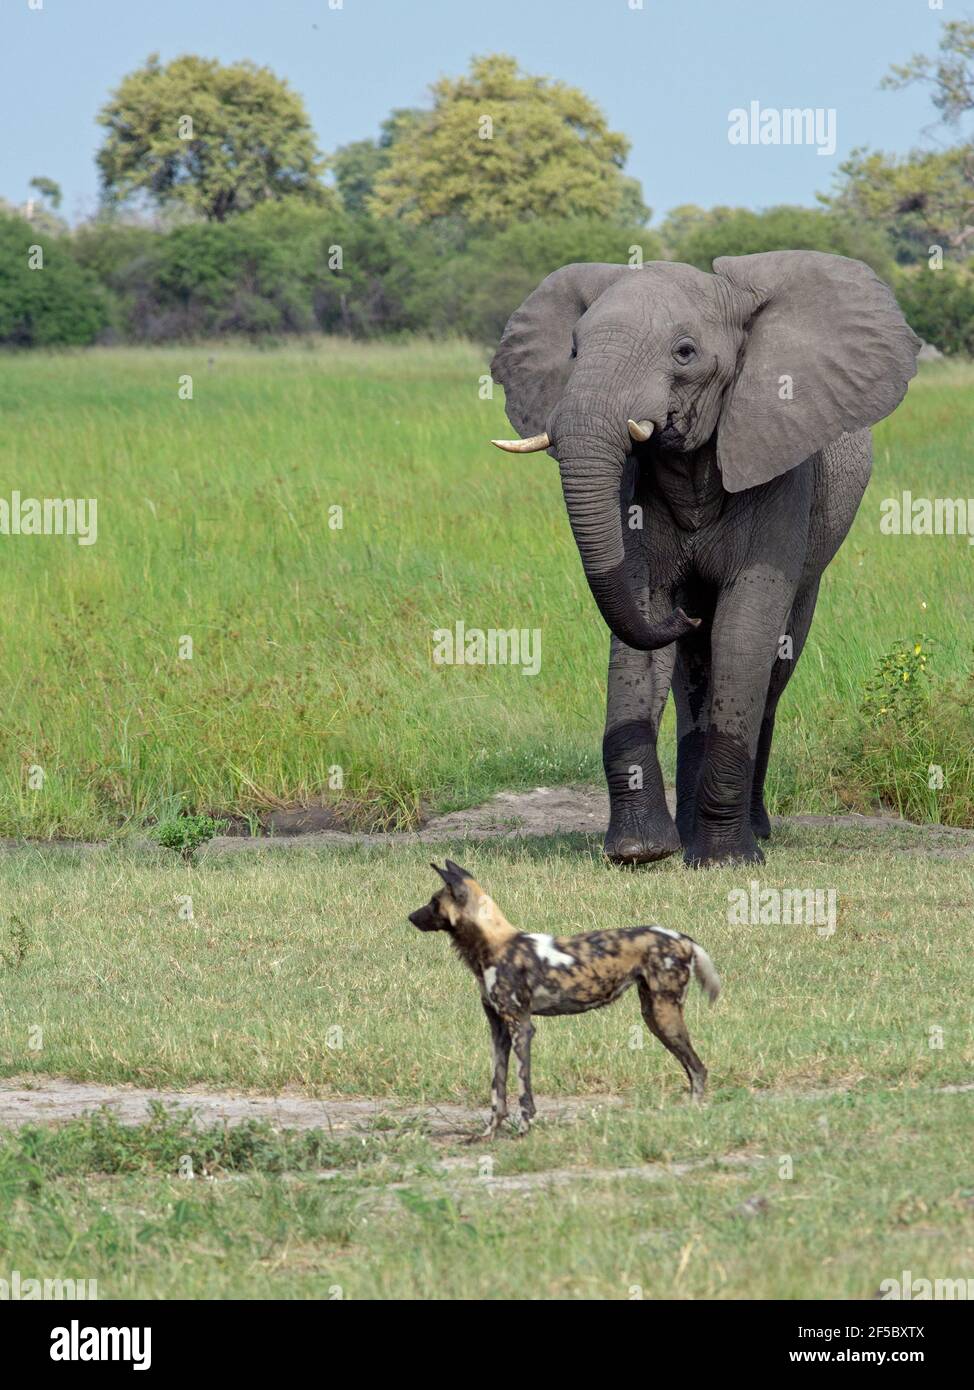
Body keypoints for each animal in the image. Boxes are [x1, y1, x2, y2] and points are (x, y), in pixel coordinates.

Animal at [405, 856, 716, 1139]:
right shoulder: (499, 1031)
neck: (492, 944)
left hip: (664, 1016)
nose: (410, 917)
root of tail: (682, 937)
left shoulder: (521, 1027)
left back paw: (693, 1115)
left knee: (699, 1069)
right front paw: (489, 1134)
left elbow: (523, 1089)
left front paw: (524, 1130)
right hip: (654, 1016)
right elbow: (497, 1089)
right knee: (694, 1068)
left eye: (433, 902)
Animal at [494, 247, 917, 856]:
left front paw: (723, 859)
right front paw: (640, 852)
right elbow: (640, 623)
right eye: (574, 349)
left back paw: (750, 831)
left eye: (685, 352)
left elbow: (744, 631)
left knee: (772, 668)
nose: (685, 614)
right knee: (693, 674)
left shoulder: (779, 465)